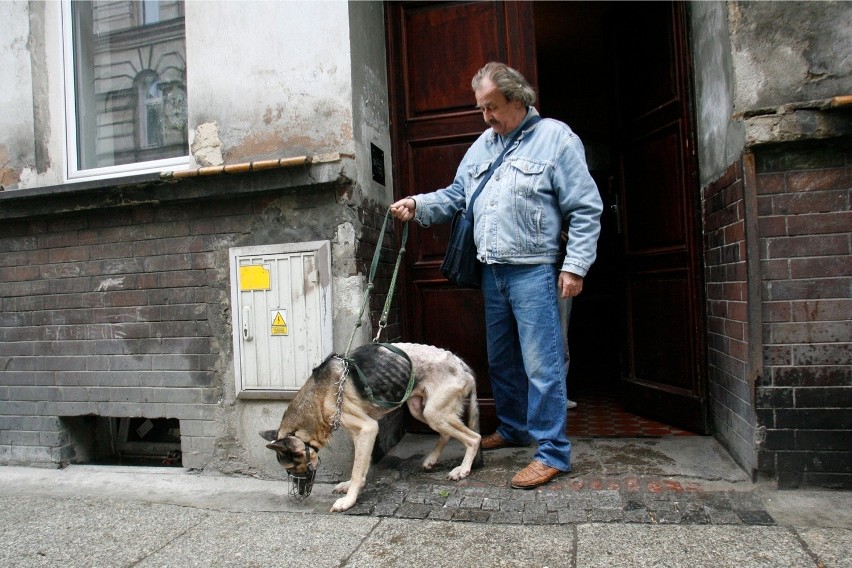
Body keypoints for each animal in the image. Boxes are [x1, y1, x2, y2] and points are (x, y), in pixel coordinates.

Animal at [260, 342, 482, 516]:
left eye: (292, 469)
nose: (298, 495)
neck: (319, 397)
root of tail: (461, 364)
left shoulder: (367, 429)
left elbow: (358, 469)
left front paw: (349, 501)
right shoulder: (361, 434)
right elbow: (360, 467)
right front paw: (351, 487)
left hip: (435, 413)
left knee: (474, 438)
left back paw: (463, 470)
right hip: (422, 410)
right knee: (446, 433)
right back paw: (431, 460)